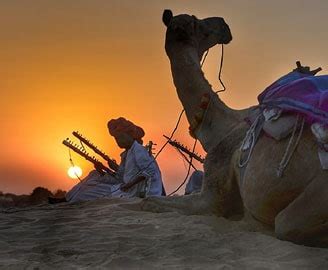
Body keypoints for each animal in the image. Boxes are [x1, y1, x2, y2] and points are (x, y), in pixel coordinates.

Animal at [140, 9, 328, 248]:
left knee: (286, 224)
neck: (218, 127)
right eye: (198, 21)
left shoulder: (212, 195)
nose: (223, 24)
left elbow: (150, 202)